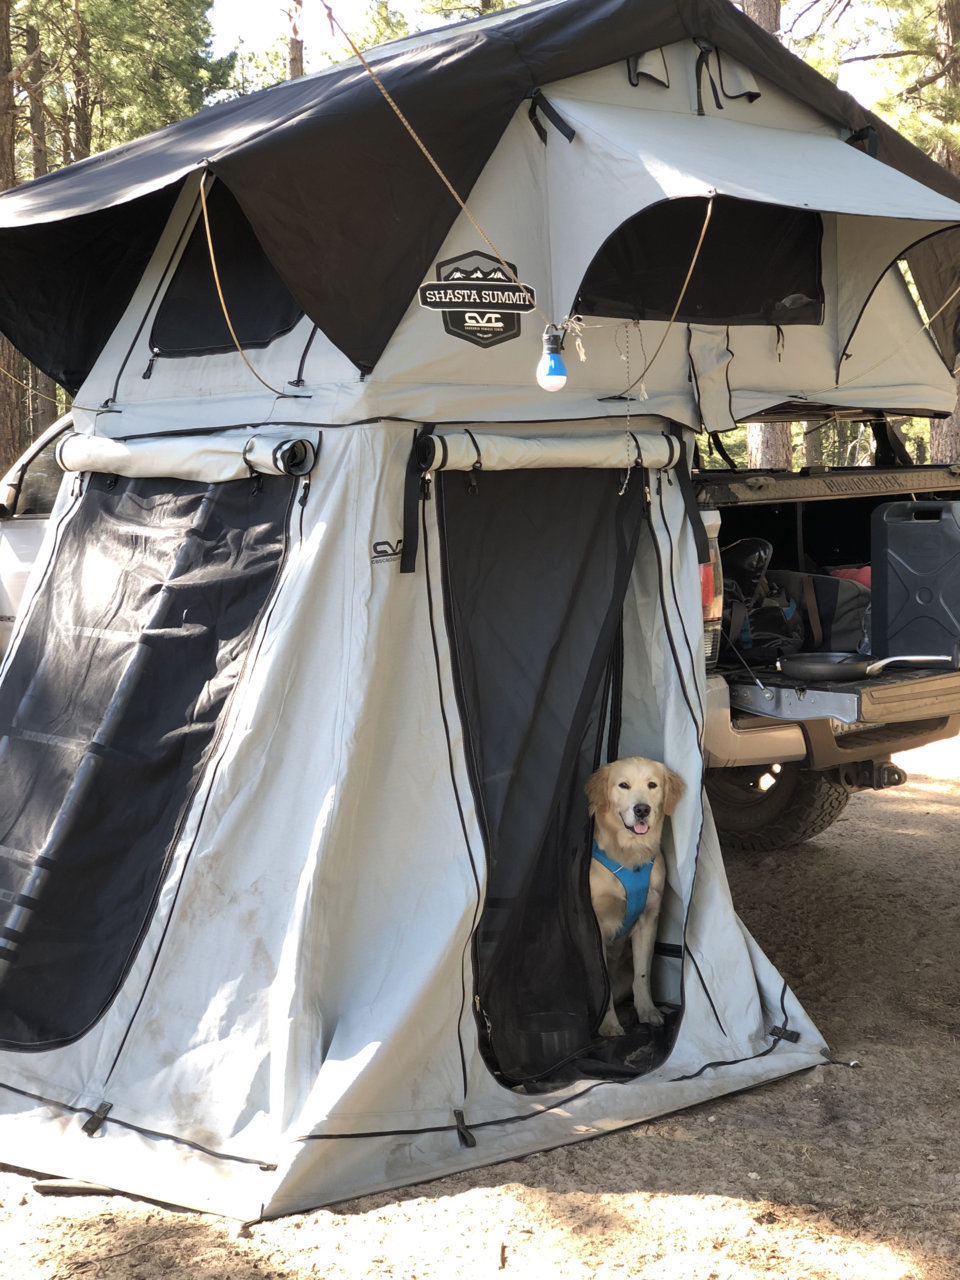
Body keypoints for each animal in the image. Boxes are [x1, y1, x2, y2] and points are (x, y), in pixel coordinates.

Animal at [583, 752, 686, 1034]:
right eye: (623, 785)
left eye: (652, 785)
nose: (642, 810)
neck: (630, 855)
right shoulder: (596, 925)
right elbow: (603, 984)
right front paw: (608, 1026)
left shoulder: (648, 918)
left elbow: (643, 974)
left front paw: (647, 1012)